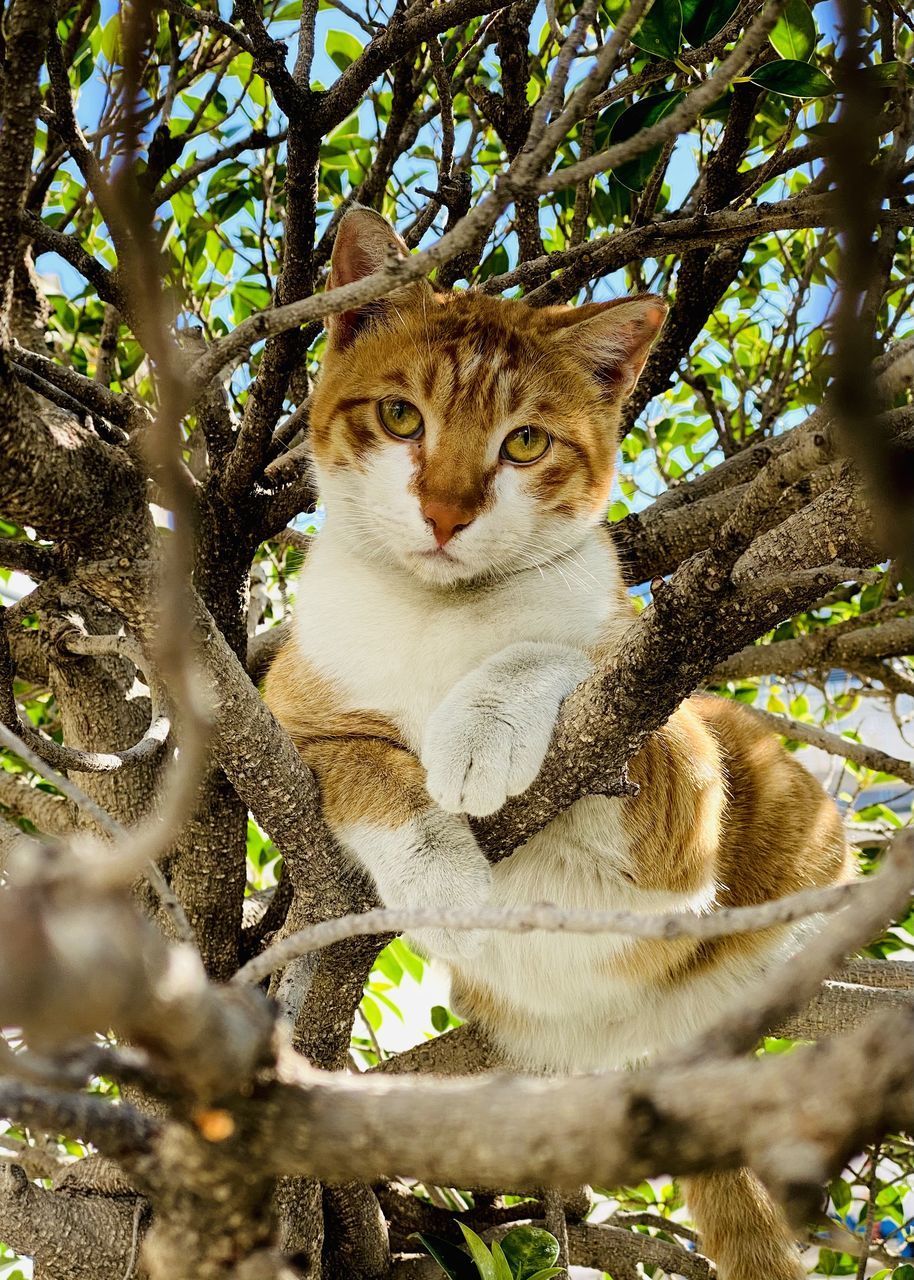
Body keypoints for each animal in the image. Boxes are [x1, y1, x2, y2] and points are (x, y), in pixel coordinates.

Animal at [263, 209, 844, 1280]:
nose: (447, 511)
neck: (438, 619)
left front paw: (482, 728)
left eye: (524, 442)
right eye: (401, 418)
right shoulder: (292, 722)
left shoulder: (671, 766)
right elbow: (371, 765)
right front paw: (443, 869)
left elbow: (558, 650)